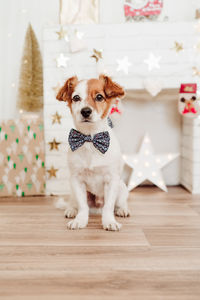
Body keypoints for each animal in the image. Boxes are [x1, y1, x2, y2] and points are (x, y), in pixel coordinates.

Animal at [56, 74, 130, 230]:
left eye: (99, 97)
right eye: (76, 98)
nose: (85, 111)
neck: (90, 140)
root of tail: (96, 209)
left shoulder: (112, 180)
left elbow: (109, 207)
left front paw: (109, 221)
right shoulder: (77, 180)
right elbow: (83, 206)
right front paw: (80, 220)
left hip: (122, 188)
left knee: (119, 203)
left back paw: (122, 210)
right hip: (72, 190)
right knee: (74, 203)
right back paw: (71, 210)